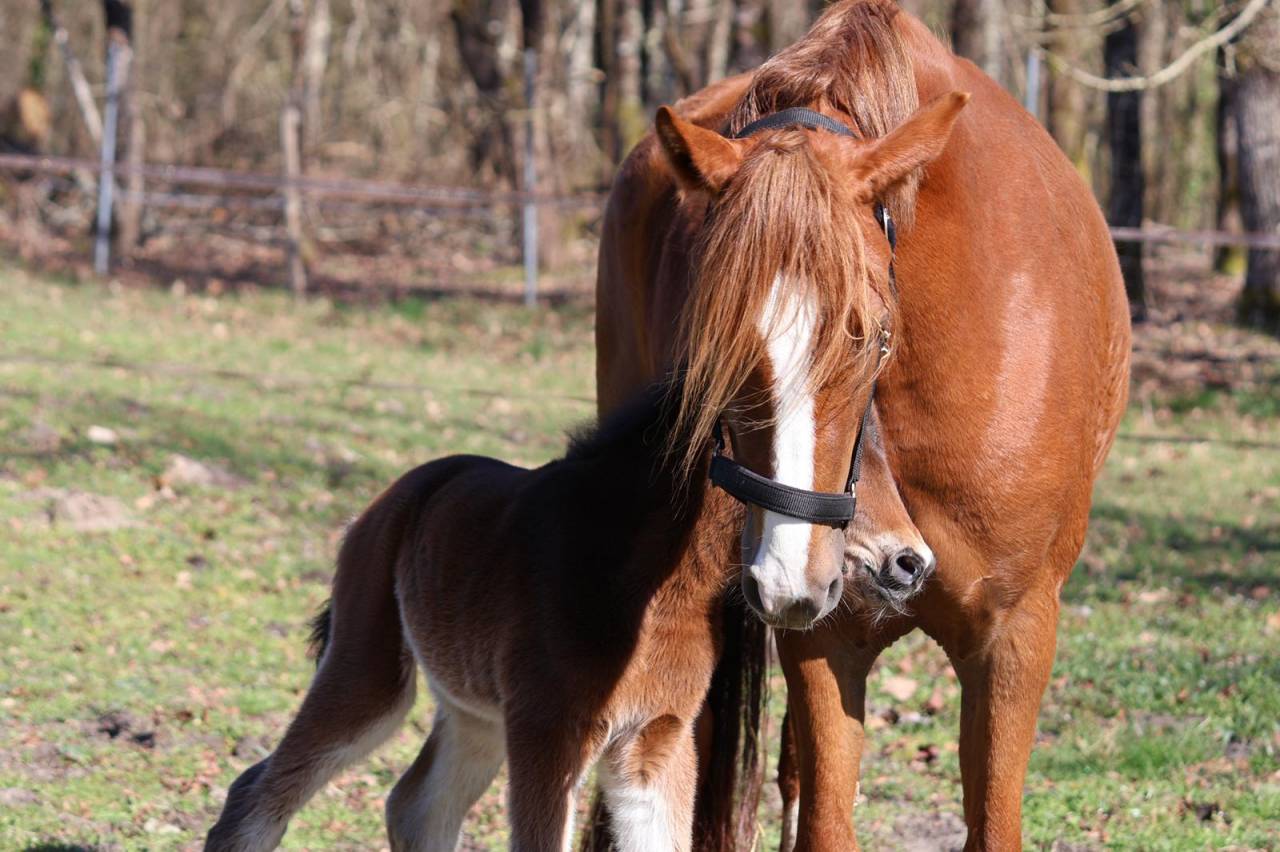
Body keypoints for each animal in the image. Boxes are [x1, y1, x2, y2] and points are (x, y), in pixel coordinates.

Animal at [203, 366, 929, 850]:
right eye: (844, 462)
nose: (913, 561)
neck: (640, 584)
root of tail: (390, 502)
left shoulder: (655, 738)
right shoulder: (550, 733)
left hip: (476, 711)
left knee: (416, 807)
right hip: (370, 672)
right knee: (259, 796)